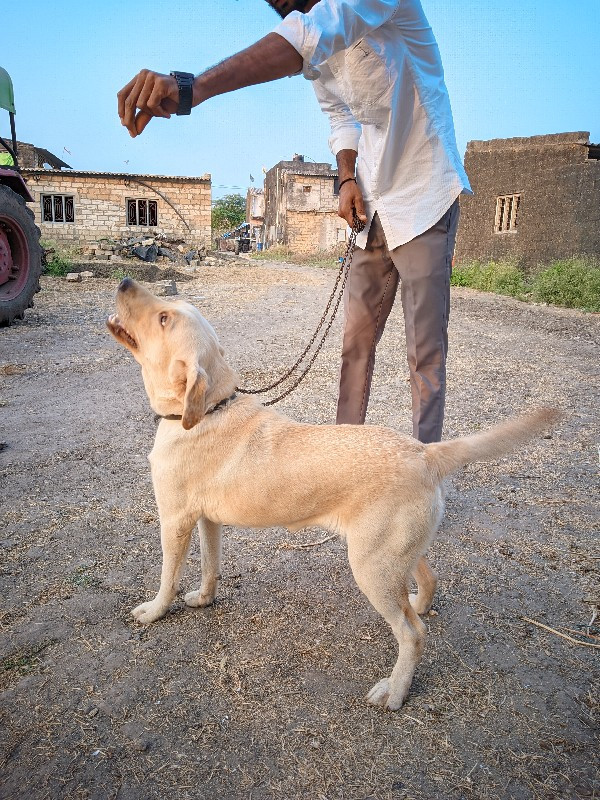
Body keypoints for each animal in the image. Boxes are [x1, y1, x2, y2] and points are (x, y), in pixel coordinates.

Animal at [106, 278, 556, 708]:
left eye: (164, 318)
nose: (125, 281)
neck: (209, 410)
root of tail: (425, 452)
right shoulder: (206, 521)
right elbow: (210, 566)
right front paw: (203, 598)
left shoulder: (175, 521)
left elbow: (168, 578)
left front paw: (155, 611)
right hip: (395, 554)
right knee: (428, 581)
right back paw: (419, 604)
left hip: (371, 568)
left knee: (413, 634)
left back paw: (395, 692)